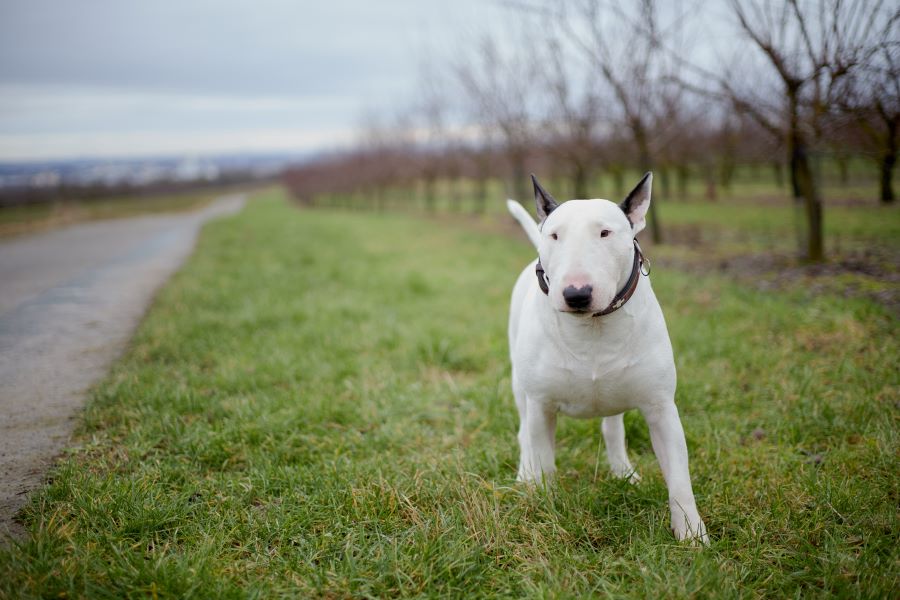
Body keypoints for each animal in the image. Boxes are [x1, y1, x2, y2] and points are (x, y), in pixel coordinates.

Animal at [510, 173, 708, 544]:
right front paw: (546, 505)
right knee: (523, 433)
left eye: (605, 233)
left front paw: (691, 532)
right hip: (520, 387)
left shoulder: (661, 408)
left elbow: (679, 477)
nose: (576, 294)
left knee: (612, 428)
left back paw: (622, 472)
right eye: (554, 235)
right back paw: (523, 476)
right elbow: (544, 462)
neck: (592, 328)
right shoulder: (542, 405)